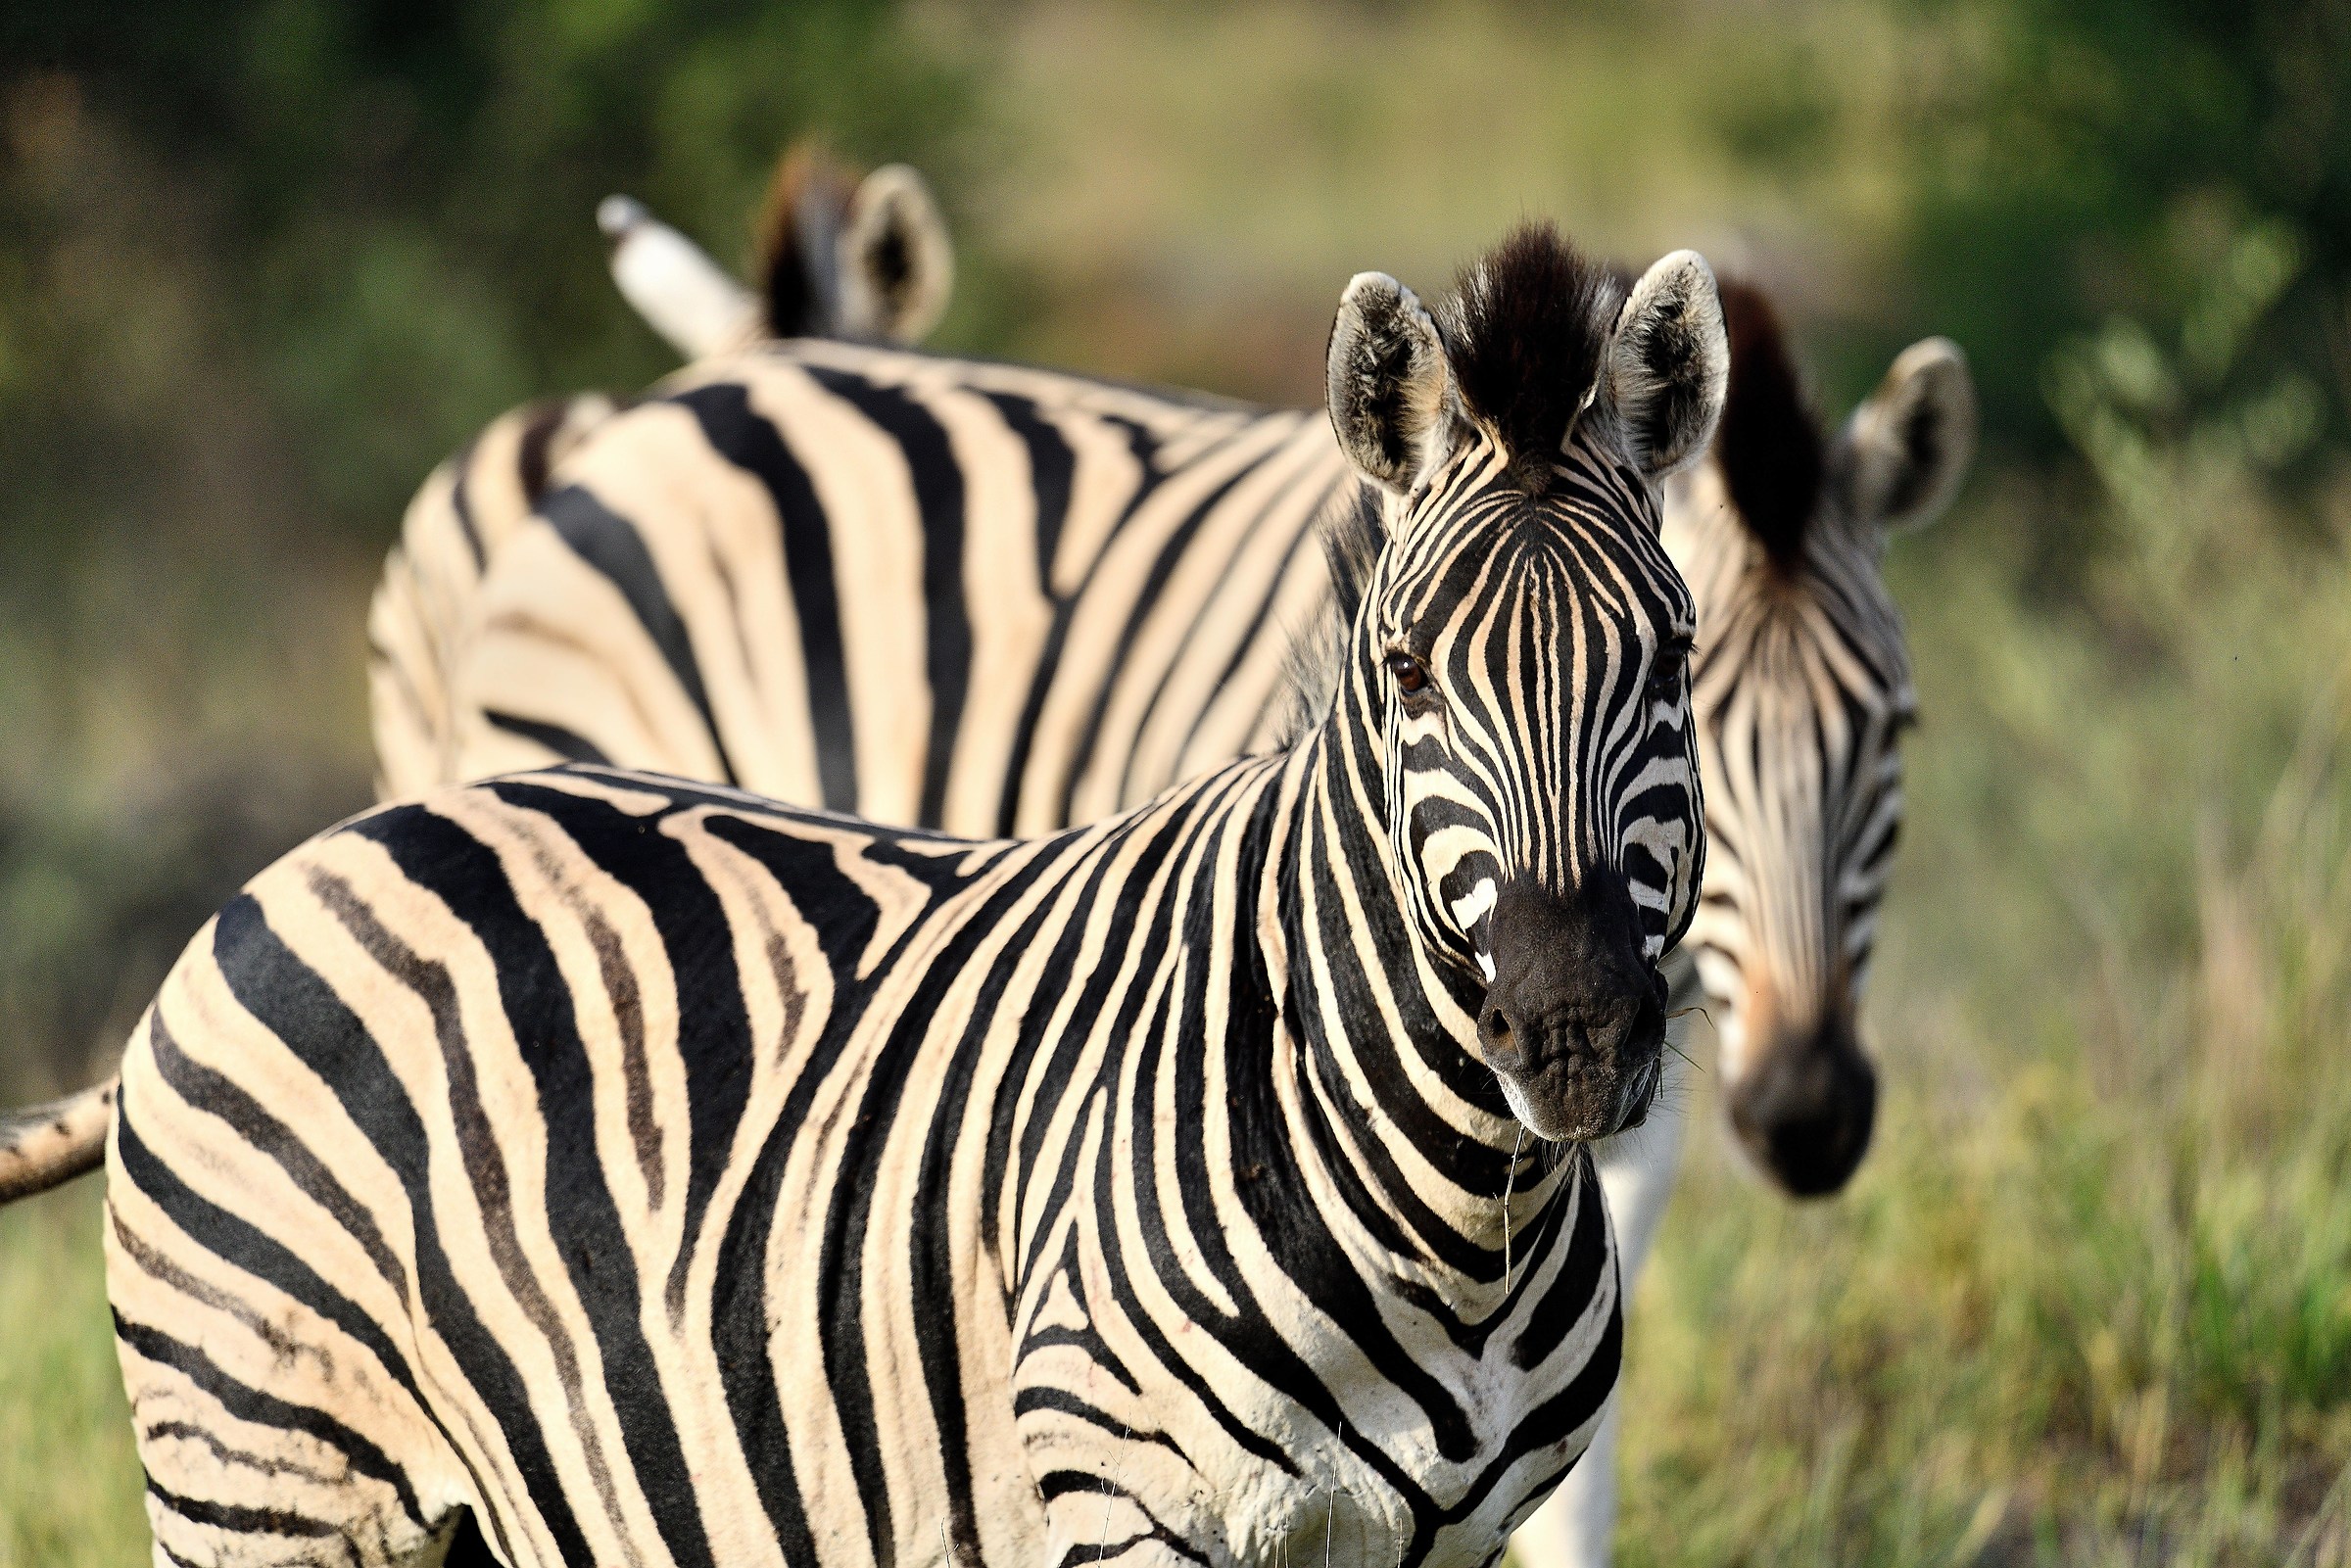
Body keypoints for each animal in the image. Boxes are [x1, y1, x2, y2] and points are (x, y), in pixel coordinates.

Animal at [0, 227, 1730, 1568]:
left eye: (1672, 659)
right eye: (1411, 672)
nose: (1575, 1034)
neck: (1466, 1225)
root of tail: (289, 867)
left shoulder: (1441, 1534)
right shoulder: (1122, 1502)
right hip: (267, 1475)